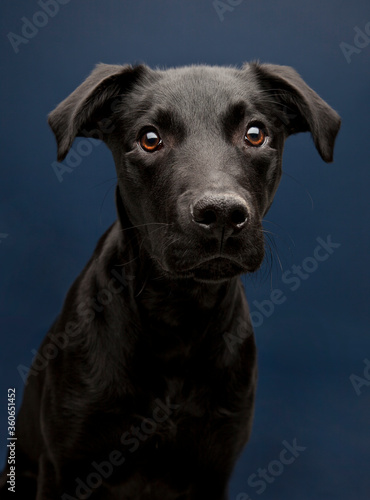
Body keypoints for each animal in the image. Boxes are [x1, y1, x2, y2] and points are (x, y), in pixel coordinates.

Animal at [0, 61, 342, 496]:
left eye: (255, 133)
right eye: (150, 139)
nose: (221, 214)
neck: (176, 317)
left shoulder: (212, 469)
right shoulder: (64, 468)